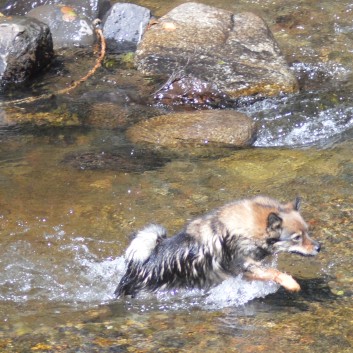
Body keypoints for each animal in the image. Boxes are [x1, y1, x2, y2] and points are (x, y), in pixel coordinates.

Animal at [115, 195, 320, 296]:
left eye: (308, 232)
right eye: (297, 238)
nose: (319, 247)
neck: (242, 231)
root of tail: (137, 265)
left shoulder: (242, 272)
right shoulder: (242, 265)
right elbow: (275, 273)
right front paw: (292, 284)